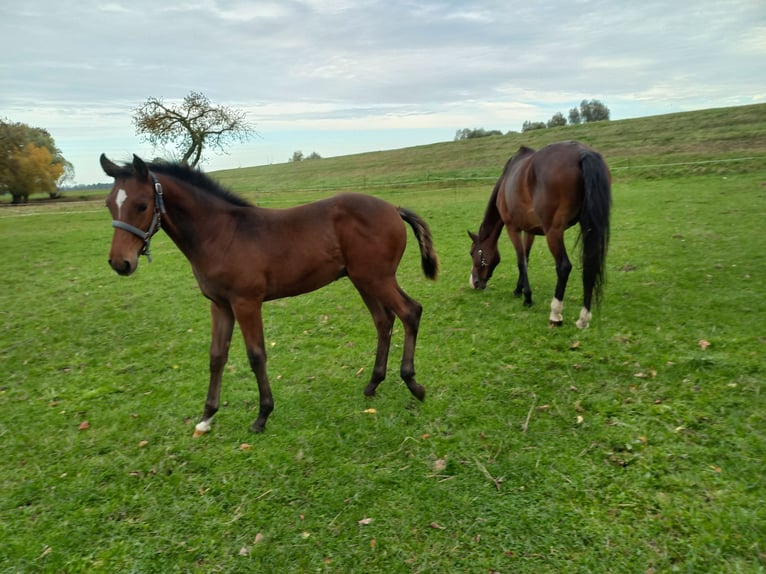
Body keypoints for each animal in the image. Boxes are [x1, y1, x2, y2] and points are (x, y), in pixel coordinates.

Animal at [102, 154, 440, 436]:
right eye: (109, 204)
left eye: (142, 204)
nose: (121, 263)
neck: (221, 233)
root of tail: (393, 208)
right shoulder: (220, 305)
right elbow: (216, 356)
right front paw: (206, 417)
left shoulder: (246, 302)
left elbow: (256, 355)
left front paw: (262, 415)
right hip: (362, 279)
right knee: (384, 321)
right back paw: (373, 383)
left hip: (378, 277)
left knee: (410, 311)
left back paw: (413, 383)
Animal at [468, 141, 612, 328]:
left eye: (473, 253)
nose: (475, 283)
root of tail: (582, 152)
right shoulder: (530, 230)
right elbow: (526, 259)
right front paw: (519, 289)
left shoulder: (512, 228)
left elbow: (521, 261)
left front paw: (527, 297)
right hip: (589, 228)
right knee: (590, 265)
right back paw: (583, 318)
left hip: (554, 232)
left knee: (564, 266)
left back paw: (556, 314)